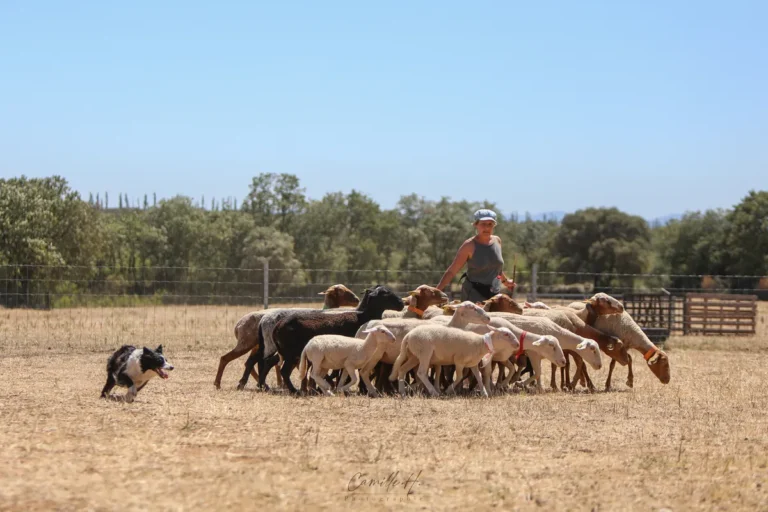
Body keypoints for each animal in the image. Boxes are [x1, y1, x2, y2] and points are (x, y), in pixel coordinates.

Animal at [214, 283, 359, 389]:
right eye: (341, 291)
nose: (357, 300)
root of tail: (238, 324)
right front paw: (308, 387)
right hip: (253, 343)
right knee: (232, 359)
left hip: (259, 345)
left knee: (251, 361)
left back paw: (251, 383)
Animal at [239, 285, 404, 395]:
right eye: (385, 293)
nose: (402, 303)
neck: (362, 316)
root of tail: (277, 325)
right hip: (290, 352)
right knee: (282, 369)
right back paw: (293, 390)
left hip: (285, 351)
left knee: (268, 362)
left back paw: (262, 385)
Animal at [389, 324, 519, 398]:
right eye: (506, 334)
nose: (517, 344)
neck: (480, 343)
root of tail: (408, 336)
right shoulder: (459, 361)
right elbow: (460, 376)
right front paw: (448, 390)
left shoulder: (473, 363)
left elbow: (478, 376)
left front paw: (484, 393)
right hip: (425, 352)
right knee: (421, 373)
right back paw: (434, 392)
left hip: (414, 356)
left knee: (402, 369)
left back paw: (402, 392)